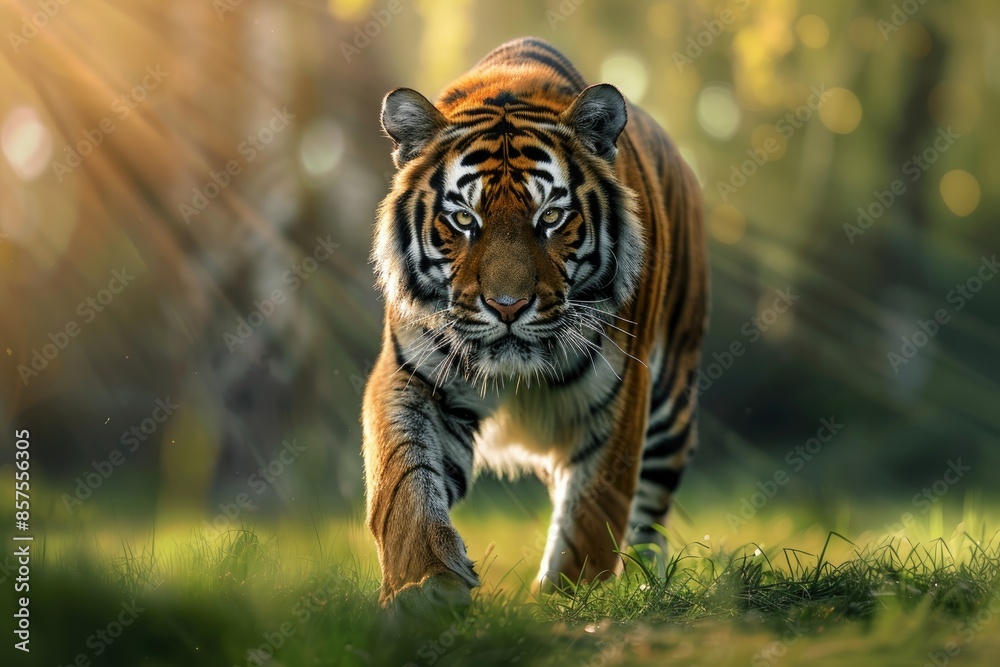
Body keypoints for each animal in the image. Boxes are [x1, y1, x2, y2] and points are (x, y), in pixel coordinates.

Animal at [362, 37, 708, 609]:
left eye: (550, 217)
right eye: (464, 219)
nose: (507, 306)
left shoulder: (618, 400)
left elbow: (591, 517)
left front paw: (568, 602)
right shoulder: (416, 376)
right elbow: (405, 480)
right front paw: (424, 589)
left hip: (670, 406)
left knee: (649, 516)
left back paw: (645, 584)